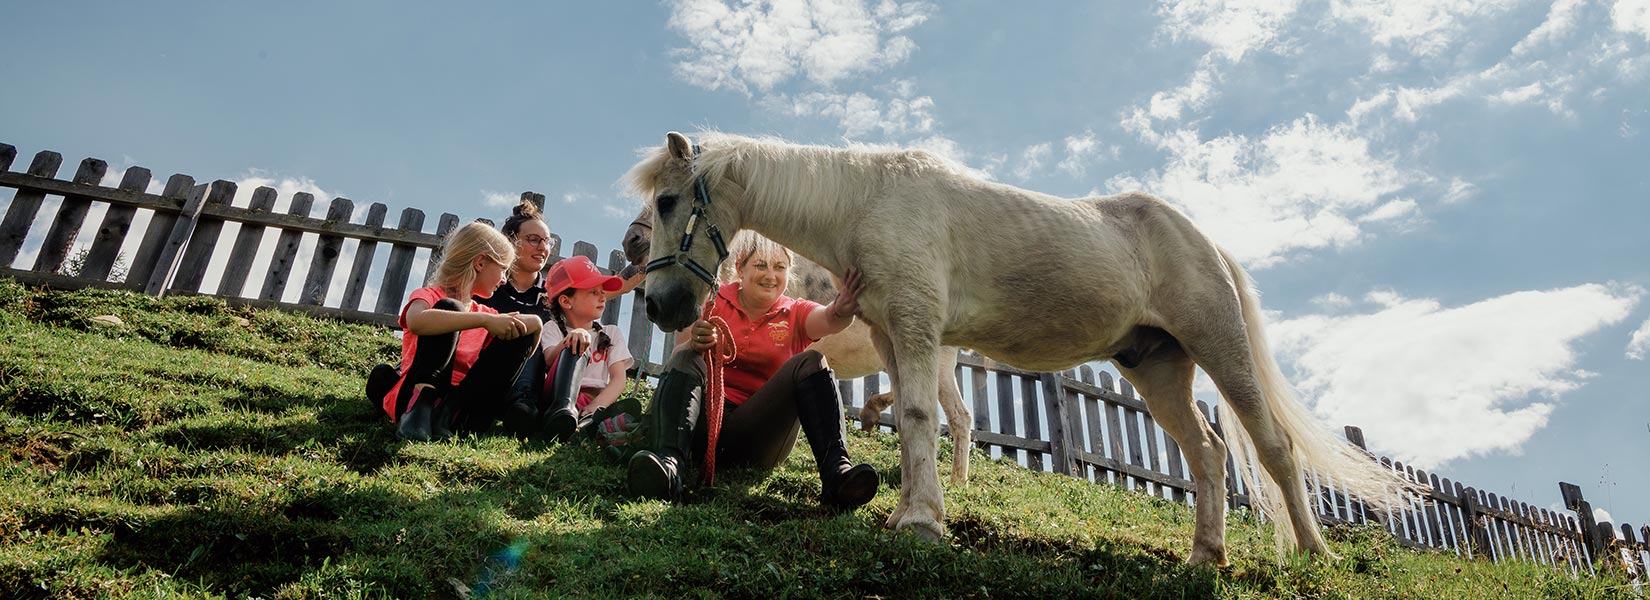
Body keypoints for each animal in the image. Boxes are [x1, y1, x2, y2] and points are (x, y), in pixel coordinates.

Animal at [623, 128, 1425, 563]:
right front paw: (910, 513)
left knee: (1273, 450)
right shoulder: (892, 335)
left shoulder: (917, 329)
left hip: (1220, 348)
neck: (867, 201)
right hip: (1158, 368)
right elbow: (912, 421)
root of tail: (1207, 242)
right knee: (1208, 455)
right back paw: (1205, 557)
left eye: (666, 202)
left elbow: (921, 419)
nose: (661, 306)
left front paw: (923, 524)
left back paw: (1315, 553)